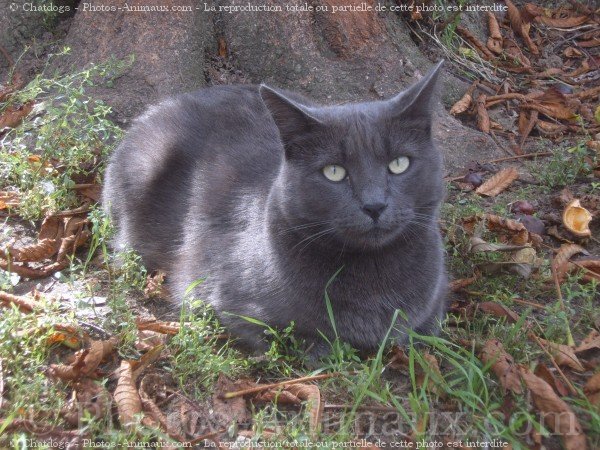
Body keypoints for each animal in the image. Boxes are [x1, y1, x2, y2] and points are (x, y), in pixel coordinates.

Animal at [103, 62, 448, 358]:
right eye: (334, 172)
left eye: (399, 164)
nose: (374, 205)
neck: (372, 277)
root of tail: (163, 104)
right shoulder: (225, 301)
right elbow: (297, 339)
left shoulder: (436, 301)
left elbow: (423, 330)